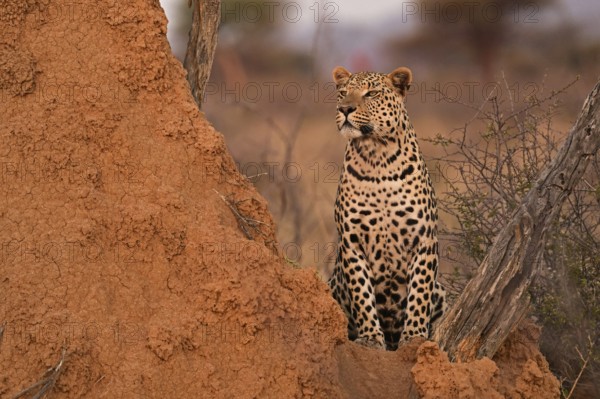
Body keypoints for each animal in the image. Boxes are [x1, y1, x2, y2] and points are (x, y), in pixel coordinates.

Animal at [326, 65, 448, 350]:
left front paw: (414, 336)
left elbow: (420, 292)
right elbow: (361, 293)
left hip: (442, 291)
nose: (344, 109)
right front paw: (370, 337)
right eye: (343, 93)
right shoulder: (351, 241)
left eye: (371, 94)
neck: (377, 156)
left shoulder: (424, 239)